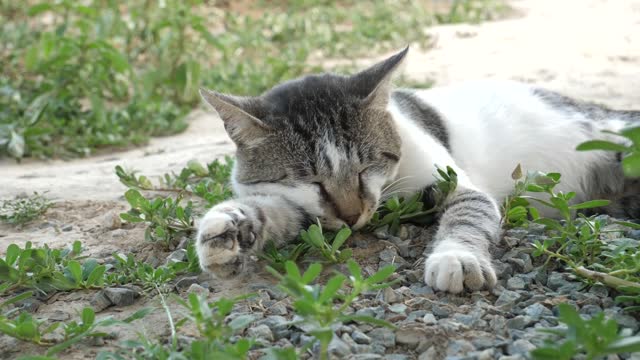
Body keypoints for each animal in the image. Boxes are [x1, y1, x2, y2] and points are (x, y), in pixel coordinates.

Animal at [195, 47, 640, 292]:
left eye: (366, 167)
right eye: (310, 180)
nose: (354, 216)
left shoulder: (459, 185)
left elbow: (468, 216)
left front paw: (458, 257)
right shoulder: (311, 213)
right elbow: (278, 212)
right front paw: (228, 226)